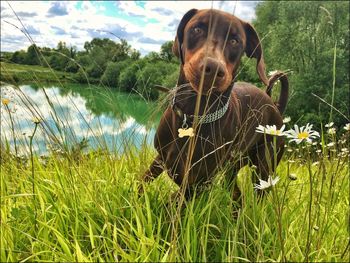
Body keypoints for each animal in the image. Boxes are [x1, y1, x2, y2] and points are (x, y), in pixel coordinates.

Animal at [141, 9, 288, 201]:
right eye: (197, 29)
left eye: (234, 41)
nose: (212, 68)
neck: (194, 115)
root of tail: (276, 107)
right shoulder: (161, 157)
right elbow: (143, 182)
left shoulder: (197, 183)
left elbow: (171, 204)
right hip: (233, 168)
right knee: (236, 193)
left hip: (263, 169)